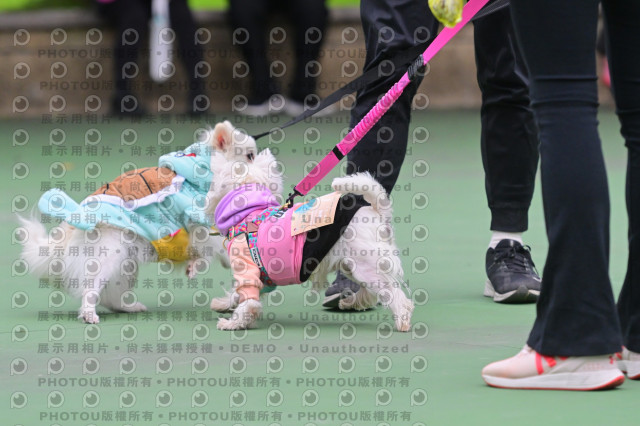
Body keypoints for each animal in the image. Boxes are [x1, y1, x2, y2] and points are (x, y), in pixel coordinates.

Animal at [18, 121, 254, 323]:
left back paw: (128, 307)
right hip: (109, 253)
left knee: (111, 296)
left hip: (125, 262)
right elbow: (215, 245)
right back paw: (89, 314)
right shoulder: (197, 220)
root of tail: (72, 221)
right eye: (250, 156)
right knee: (90, 288)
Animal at [206, 141, 415, 332]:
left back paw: (402, 321)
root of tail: (377, 212)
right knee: (373, 293)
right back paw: (351, 302)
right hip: (353, 266)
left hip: (366, 266)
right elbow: (237, 293)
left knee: (395, 296)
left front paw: (233, 323)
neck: (249, 214)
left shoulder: (247, 267)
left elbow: (247, 301)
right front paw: (224, 304)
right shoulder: (263, 277)